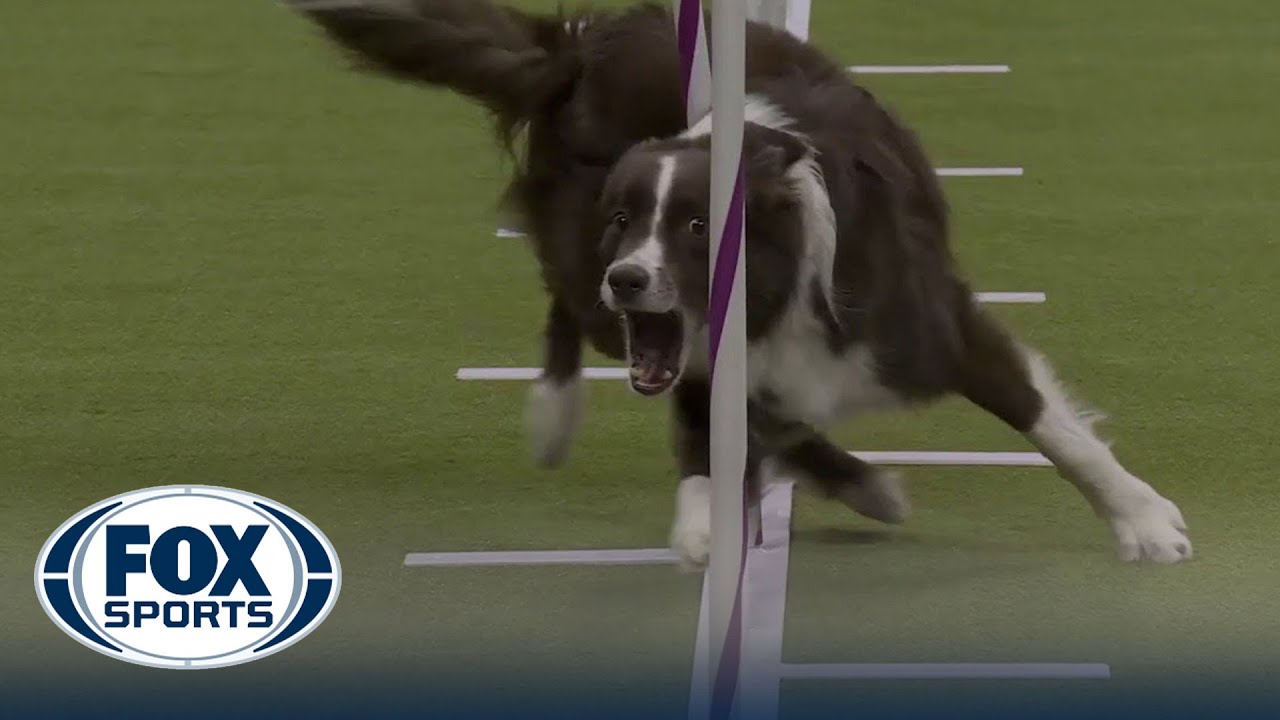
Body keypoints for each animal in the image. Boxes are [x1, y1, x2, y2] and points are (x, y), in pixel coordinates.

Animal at [288, 0, 1187, 563]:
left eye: (694, 227)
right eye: (624, 218)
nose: (629, 277)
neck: (775, 298)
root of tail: (583, 43)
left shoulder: (935, 328)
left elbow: (1053, 427)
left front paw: (1144, 521)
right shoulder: (692, 363)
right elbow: (709, 452)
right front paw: (705, 528)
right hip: (586, 278)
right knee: (568, 309)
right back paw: (555, 412)